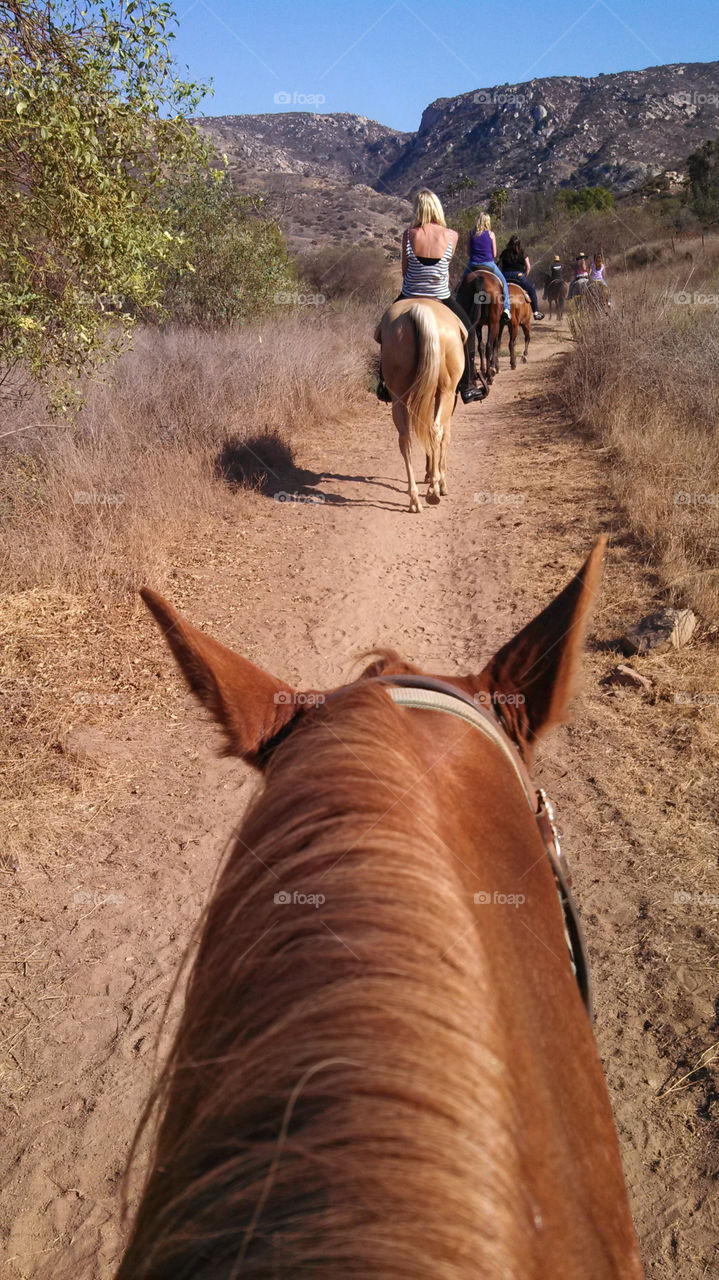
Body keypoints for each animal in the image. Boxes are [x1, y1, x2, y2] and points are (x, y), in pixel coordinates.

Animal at [376, 299, 465, 514]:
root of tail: (420, 308)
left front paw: (428, 472)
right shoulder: (448, 396)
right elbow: (445, 437)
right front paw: (440, 481)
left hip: (399, 396)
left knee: (406, 438)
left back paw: (415, 498)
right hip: (447, 392)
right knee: (436, 431)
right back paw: (433, 490)